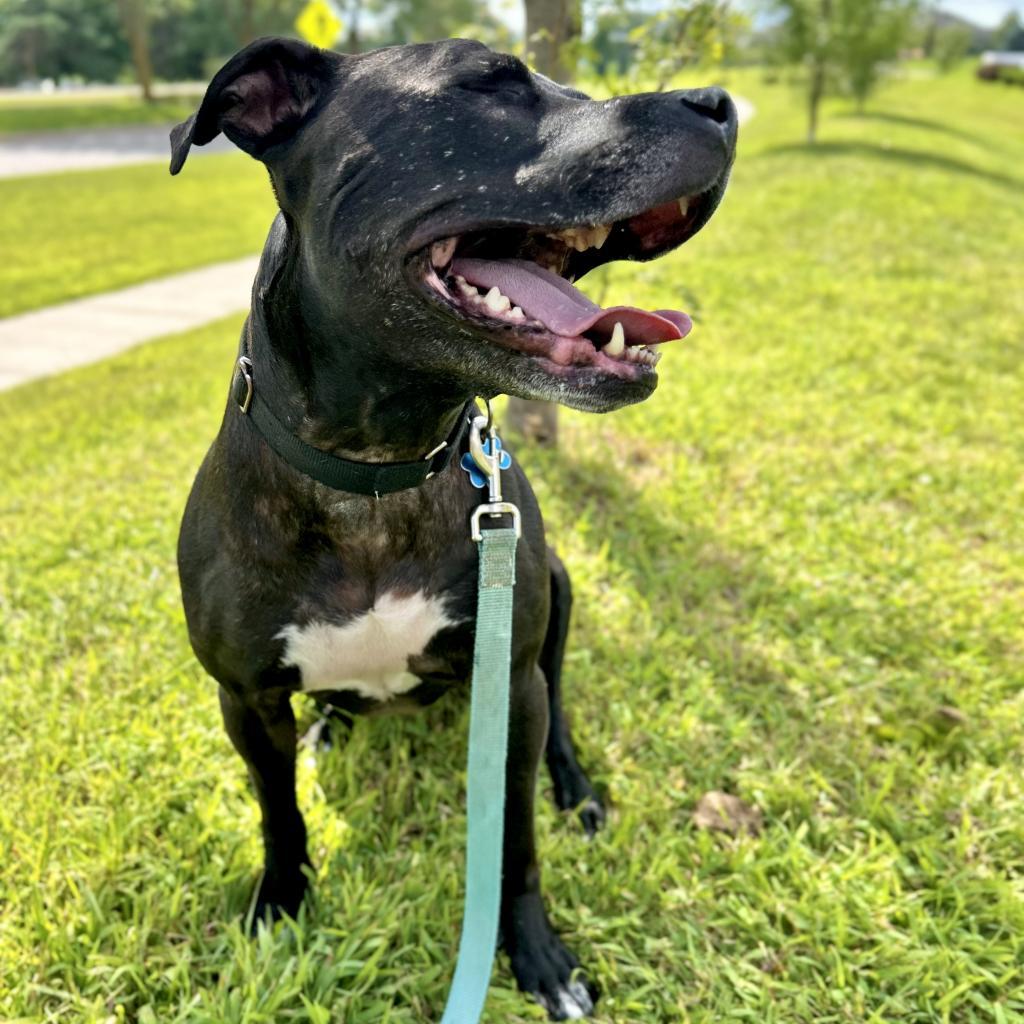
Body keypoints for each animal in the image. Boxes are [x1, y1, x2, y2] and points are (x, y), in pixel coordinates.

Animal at [172, 36, 737, 1019]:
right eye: (488, 83)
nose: (722, 104)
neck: (376, 470)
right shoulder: (242, 699)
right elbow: (278, 812)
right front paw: (280, 901)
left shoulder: (512, 676)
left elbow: (515, 841)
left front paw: (538, 953)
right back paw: (328, 727)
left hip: (557, 604)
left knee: (560, 714)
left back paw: (575, 787)